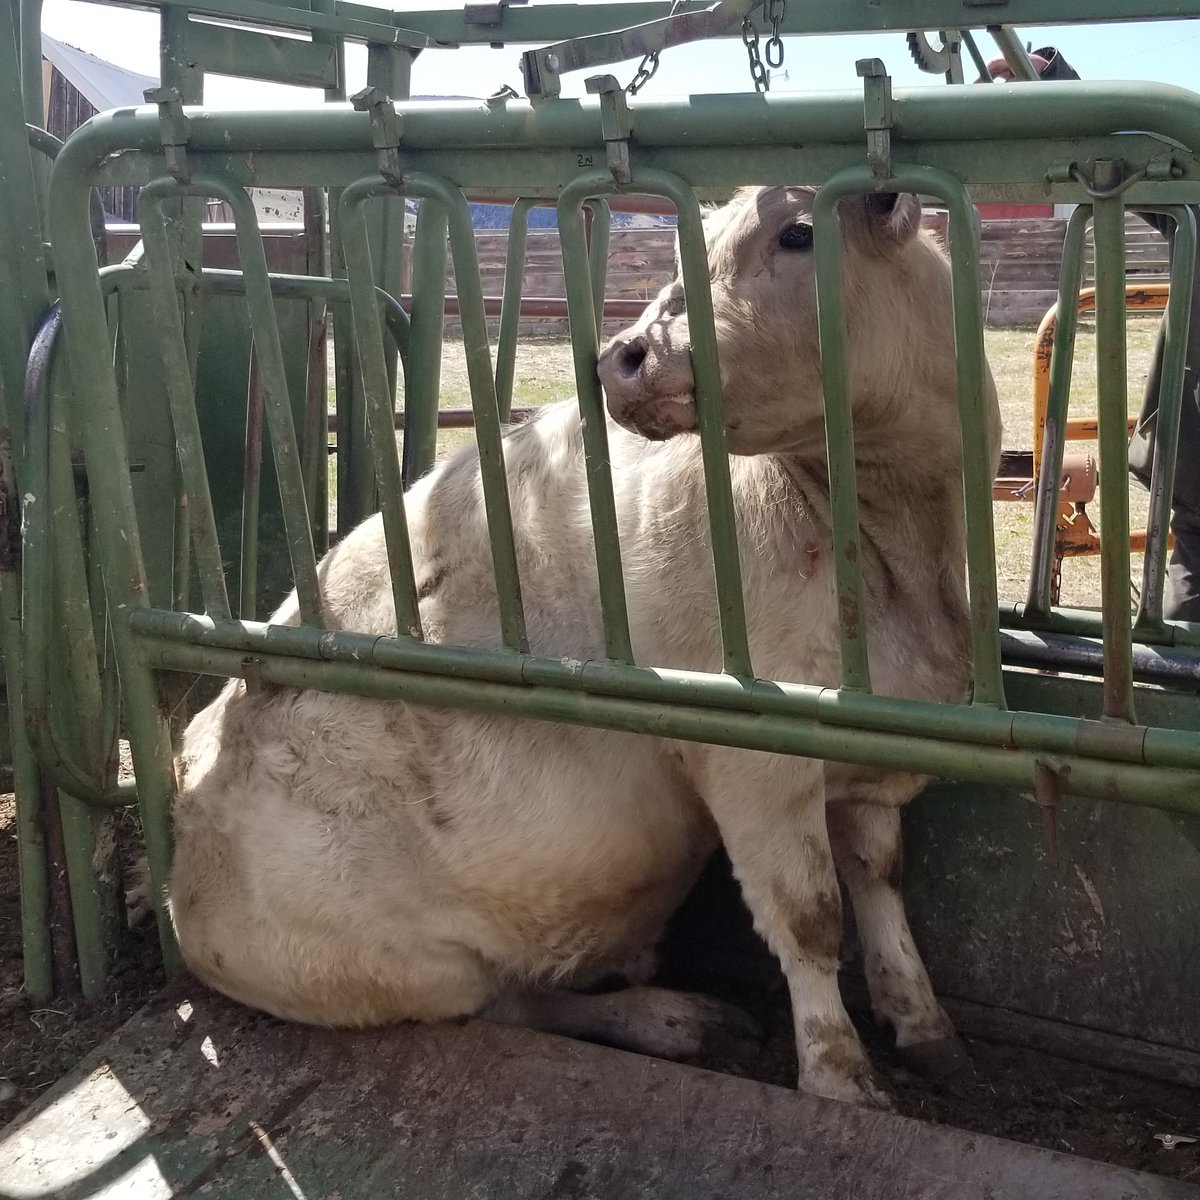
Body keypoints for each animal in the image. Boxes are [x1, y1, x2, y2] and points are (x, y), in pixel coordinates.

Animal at [167, 184, 1002, 1108]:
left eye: (798, 234)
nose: (623, 356)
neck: (904, 562)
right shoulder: (751, 762)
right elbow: (809, 914)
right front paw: (839, 1078)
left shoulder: (872, 751)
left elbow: (879, 877)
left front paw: (924, 1025)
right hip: (409, 964)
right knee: (512, 1002)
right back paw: (672, 1018)